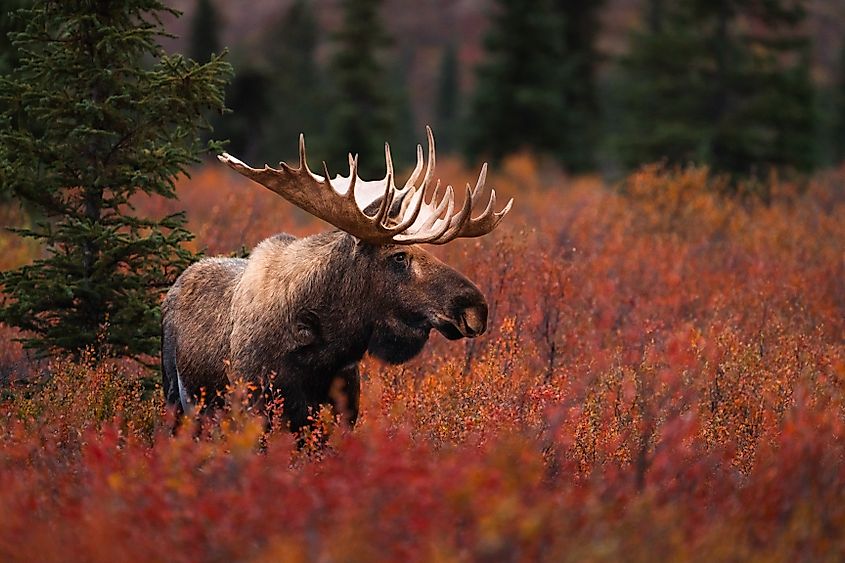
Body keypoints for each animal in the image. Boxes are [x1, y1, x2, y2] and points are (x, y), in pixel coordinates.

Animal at [161, 127, 513, 432]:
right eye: (399, 256)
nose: (476, 307)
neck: (323, 352)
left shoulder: (343, 414)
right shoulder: (255, 409)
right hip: (175, 400)